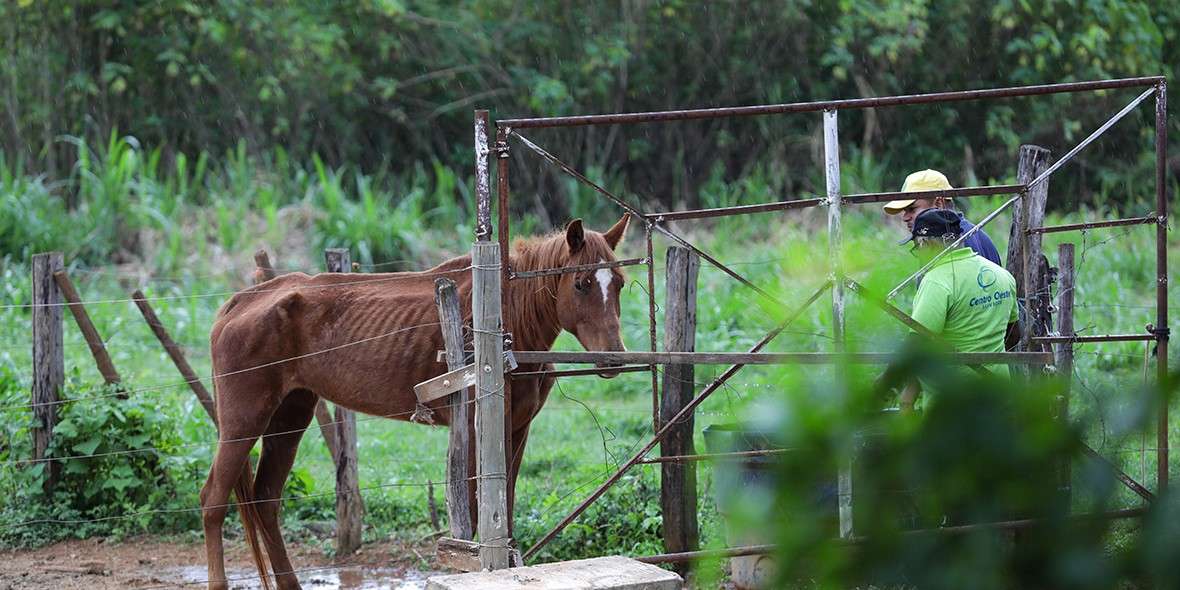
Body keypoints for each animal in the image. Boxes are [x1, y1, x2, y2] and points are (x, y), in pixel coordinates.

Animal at [200, 215, 631, 590]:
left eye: (621, 283)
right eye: (582, 283)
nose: (614, 359)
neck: (504, 325)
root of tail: (240, 302)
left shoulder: (518, 431)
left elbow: (504, 511)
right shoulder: (474, 431)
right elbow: (475, 515)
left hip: (289, 416)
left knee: (265, 500)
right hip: (243, 421)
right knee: (214, 501)